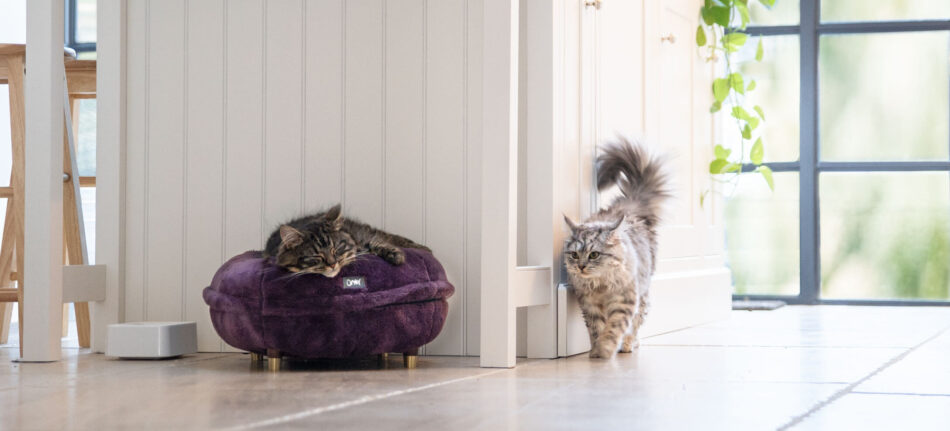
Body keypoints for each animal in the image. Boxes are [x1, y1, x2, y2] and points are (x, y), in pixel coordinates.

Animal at [266, 205, 434, 278]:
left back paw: (424, 249)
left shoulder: (364, 237)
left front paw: (396, 255)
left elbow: (377, 243)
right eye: (317, 256)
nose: (332, 264)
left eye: (336, 249)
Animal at [560, 139, 672, 362]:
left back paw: (628, 345)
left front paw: (605, 350)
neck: (600, 286)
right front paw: (596, 350)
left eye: (594, 254)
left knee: (635, 326)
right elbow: (597, 328)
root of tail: (627, 209)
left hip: (643, 296)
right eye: (574, 254)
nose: (581, 267)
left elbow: (614, 327)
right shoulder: (589, 306)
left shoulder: (624, 300)